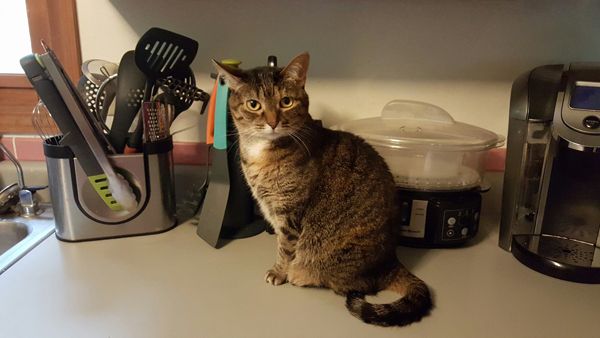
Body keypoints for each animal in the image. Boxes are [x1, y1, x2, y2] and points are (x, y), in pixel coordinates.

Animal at [213, 53, 434, 328]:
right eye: (253, 104)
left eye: (286, 101)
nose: (273, 122)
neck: (262, 153)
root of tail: (390, 262)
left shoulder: (289, 213)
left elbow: (285, 248)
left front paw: (279, 272)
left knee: (354, 285)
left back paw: (300, 275)